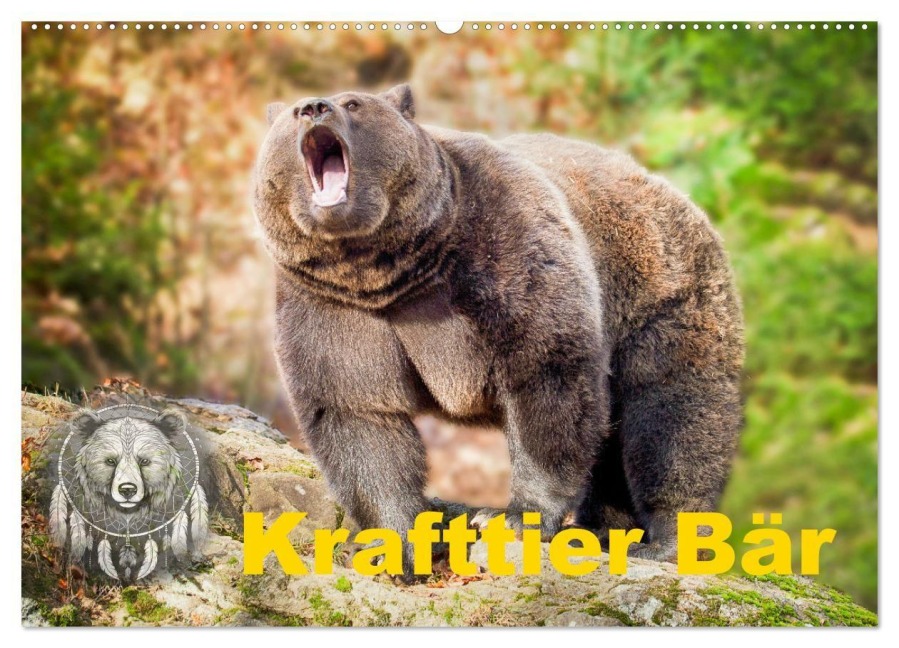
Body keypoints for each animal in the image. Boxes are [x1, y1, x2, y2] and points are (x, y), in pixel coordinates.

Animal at [253, 84, 744, 572]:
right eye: (293, 113)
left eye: (354, 103)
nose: (315, 108)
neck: (390, 271)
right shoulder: (331, 305)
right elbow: (357, 411)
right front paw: (397, 544)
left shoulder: (500, 251)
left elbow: (544, 377)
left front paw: (511, 517)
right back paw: (604, 528)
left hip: (659, 297)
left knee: (672, 417)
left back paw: (667, 540)